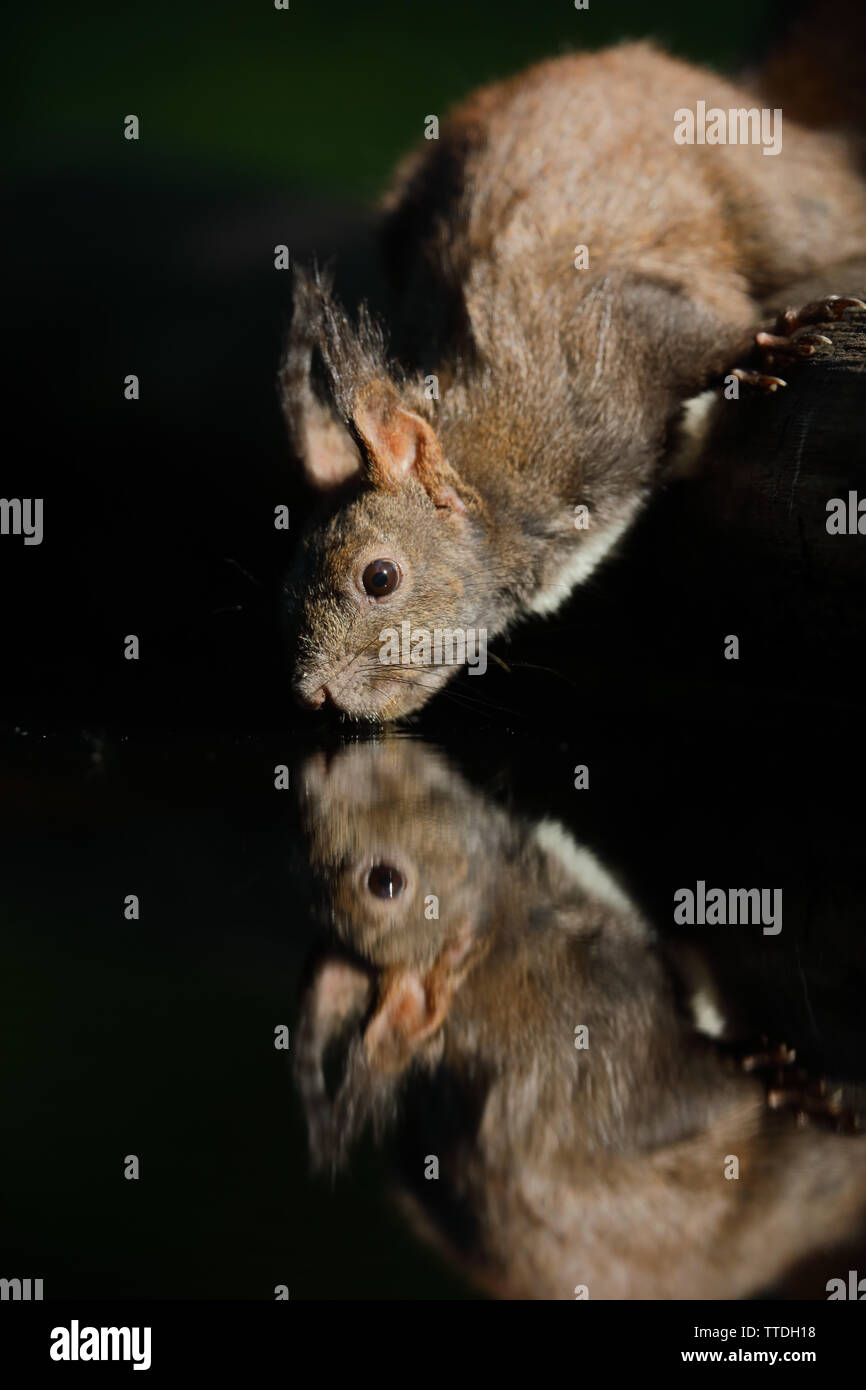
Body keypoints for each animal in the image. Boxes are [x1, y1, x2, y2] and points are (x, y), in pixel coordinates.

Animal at [281, 11, 866, 721]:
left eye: (380, 577)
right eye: (287, 589)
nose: (310, 695)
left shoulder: (600, 341)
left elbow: (684, 333)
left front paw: (765, 342)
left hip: (777, 196)